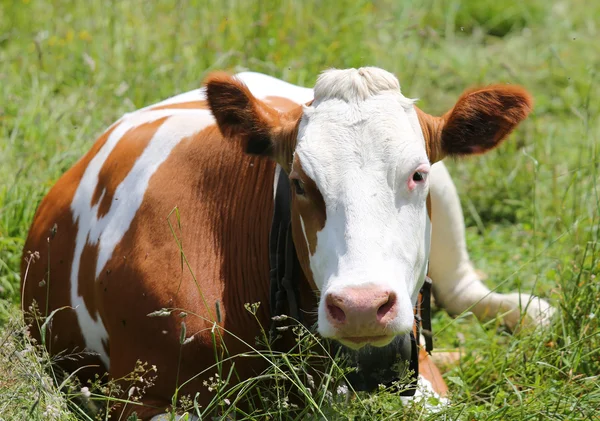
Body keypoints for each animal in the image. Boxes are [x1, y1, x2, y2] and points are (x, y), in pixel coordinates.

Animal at [19, 68, 552, 416]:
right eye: (299, 182)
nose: (361, 306)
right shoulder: (141, 395)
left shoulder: (416, 372)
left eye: (416, 173)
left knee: (471, 290)